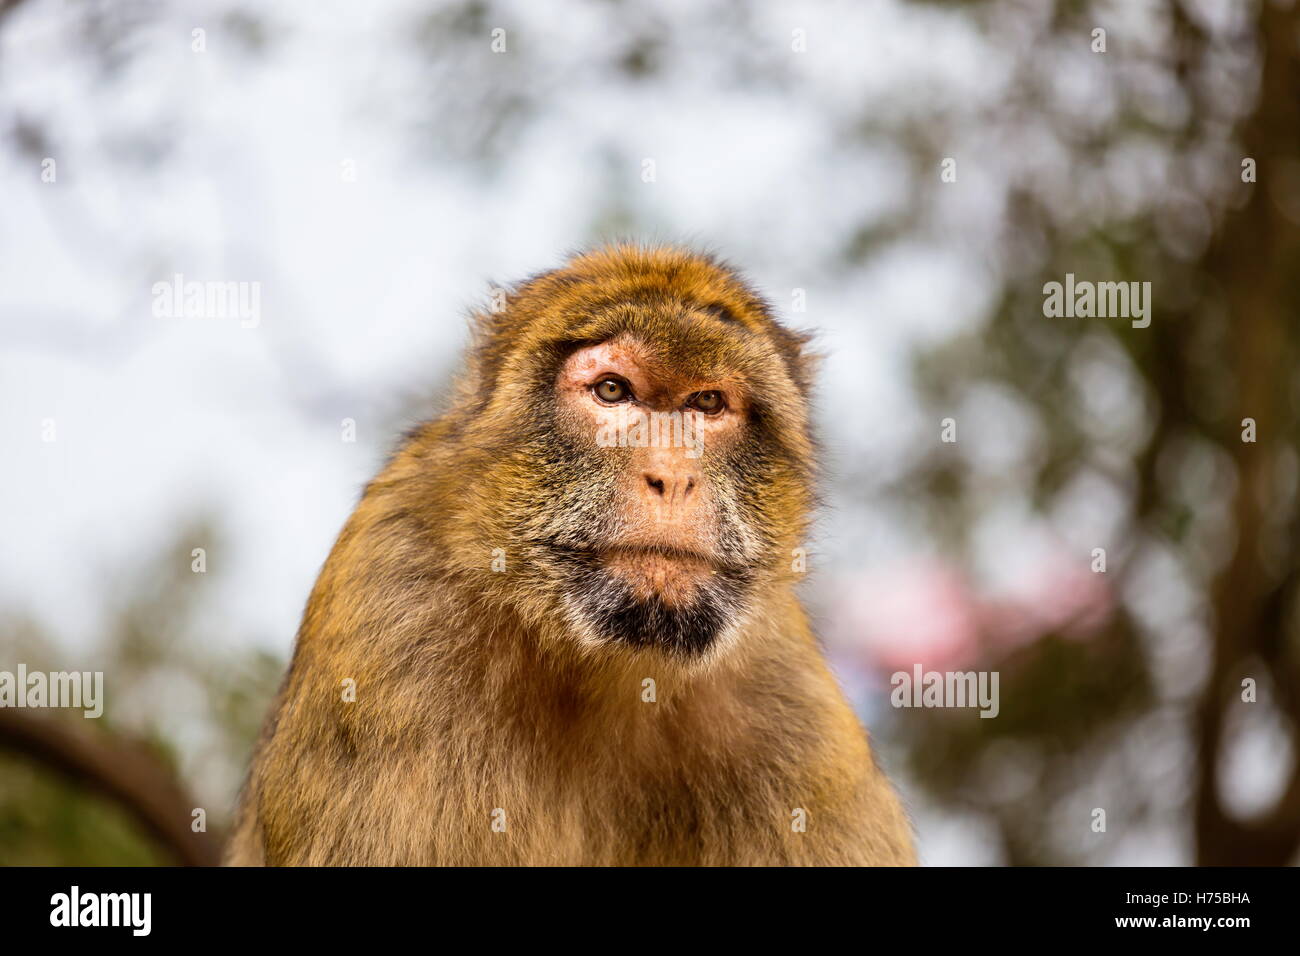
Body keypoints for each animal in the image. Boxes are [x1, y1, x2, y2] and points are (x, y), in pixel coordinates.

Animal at [225, 243, 917, 866]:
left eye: (707, 404)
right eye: (612, 391)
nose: (672, 476)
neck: (603, 667)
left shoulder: (790, 707)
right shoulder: (386, 619)